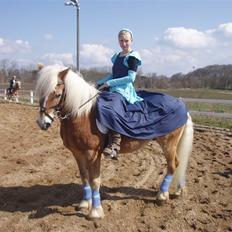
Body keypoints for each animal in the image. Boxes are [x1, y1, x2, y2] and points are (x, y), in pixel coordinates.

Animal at [35, 65, 193, 219]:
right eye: (40, 93)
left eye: (57, 94)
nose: (42, 123)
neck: (81, 114)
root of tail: (181, 103)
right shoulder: (77, 153)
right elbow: (84, 177)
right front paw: (85, 203)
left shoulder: (92, 154)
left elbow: (94, 180)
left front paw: (95, 212)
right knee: (179, 163)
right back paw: (178, 191)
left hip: (168, 143)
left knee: (172, 165)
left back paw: (162, 196)